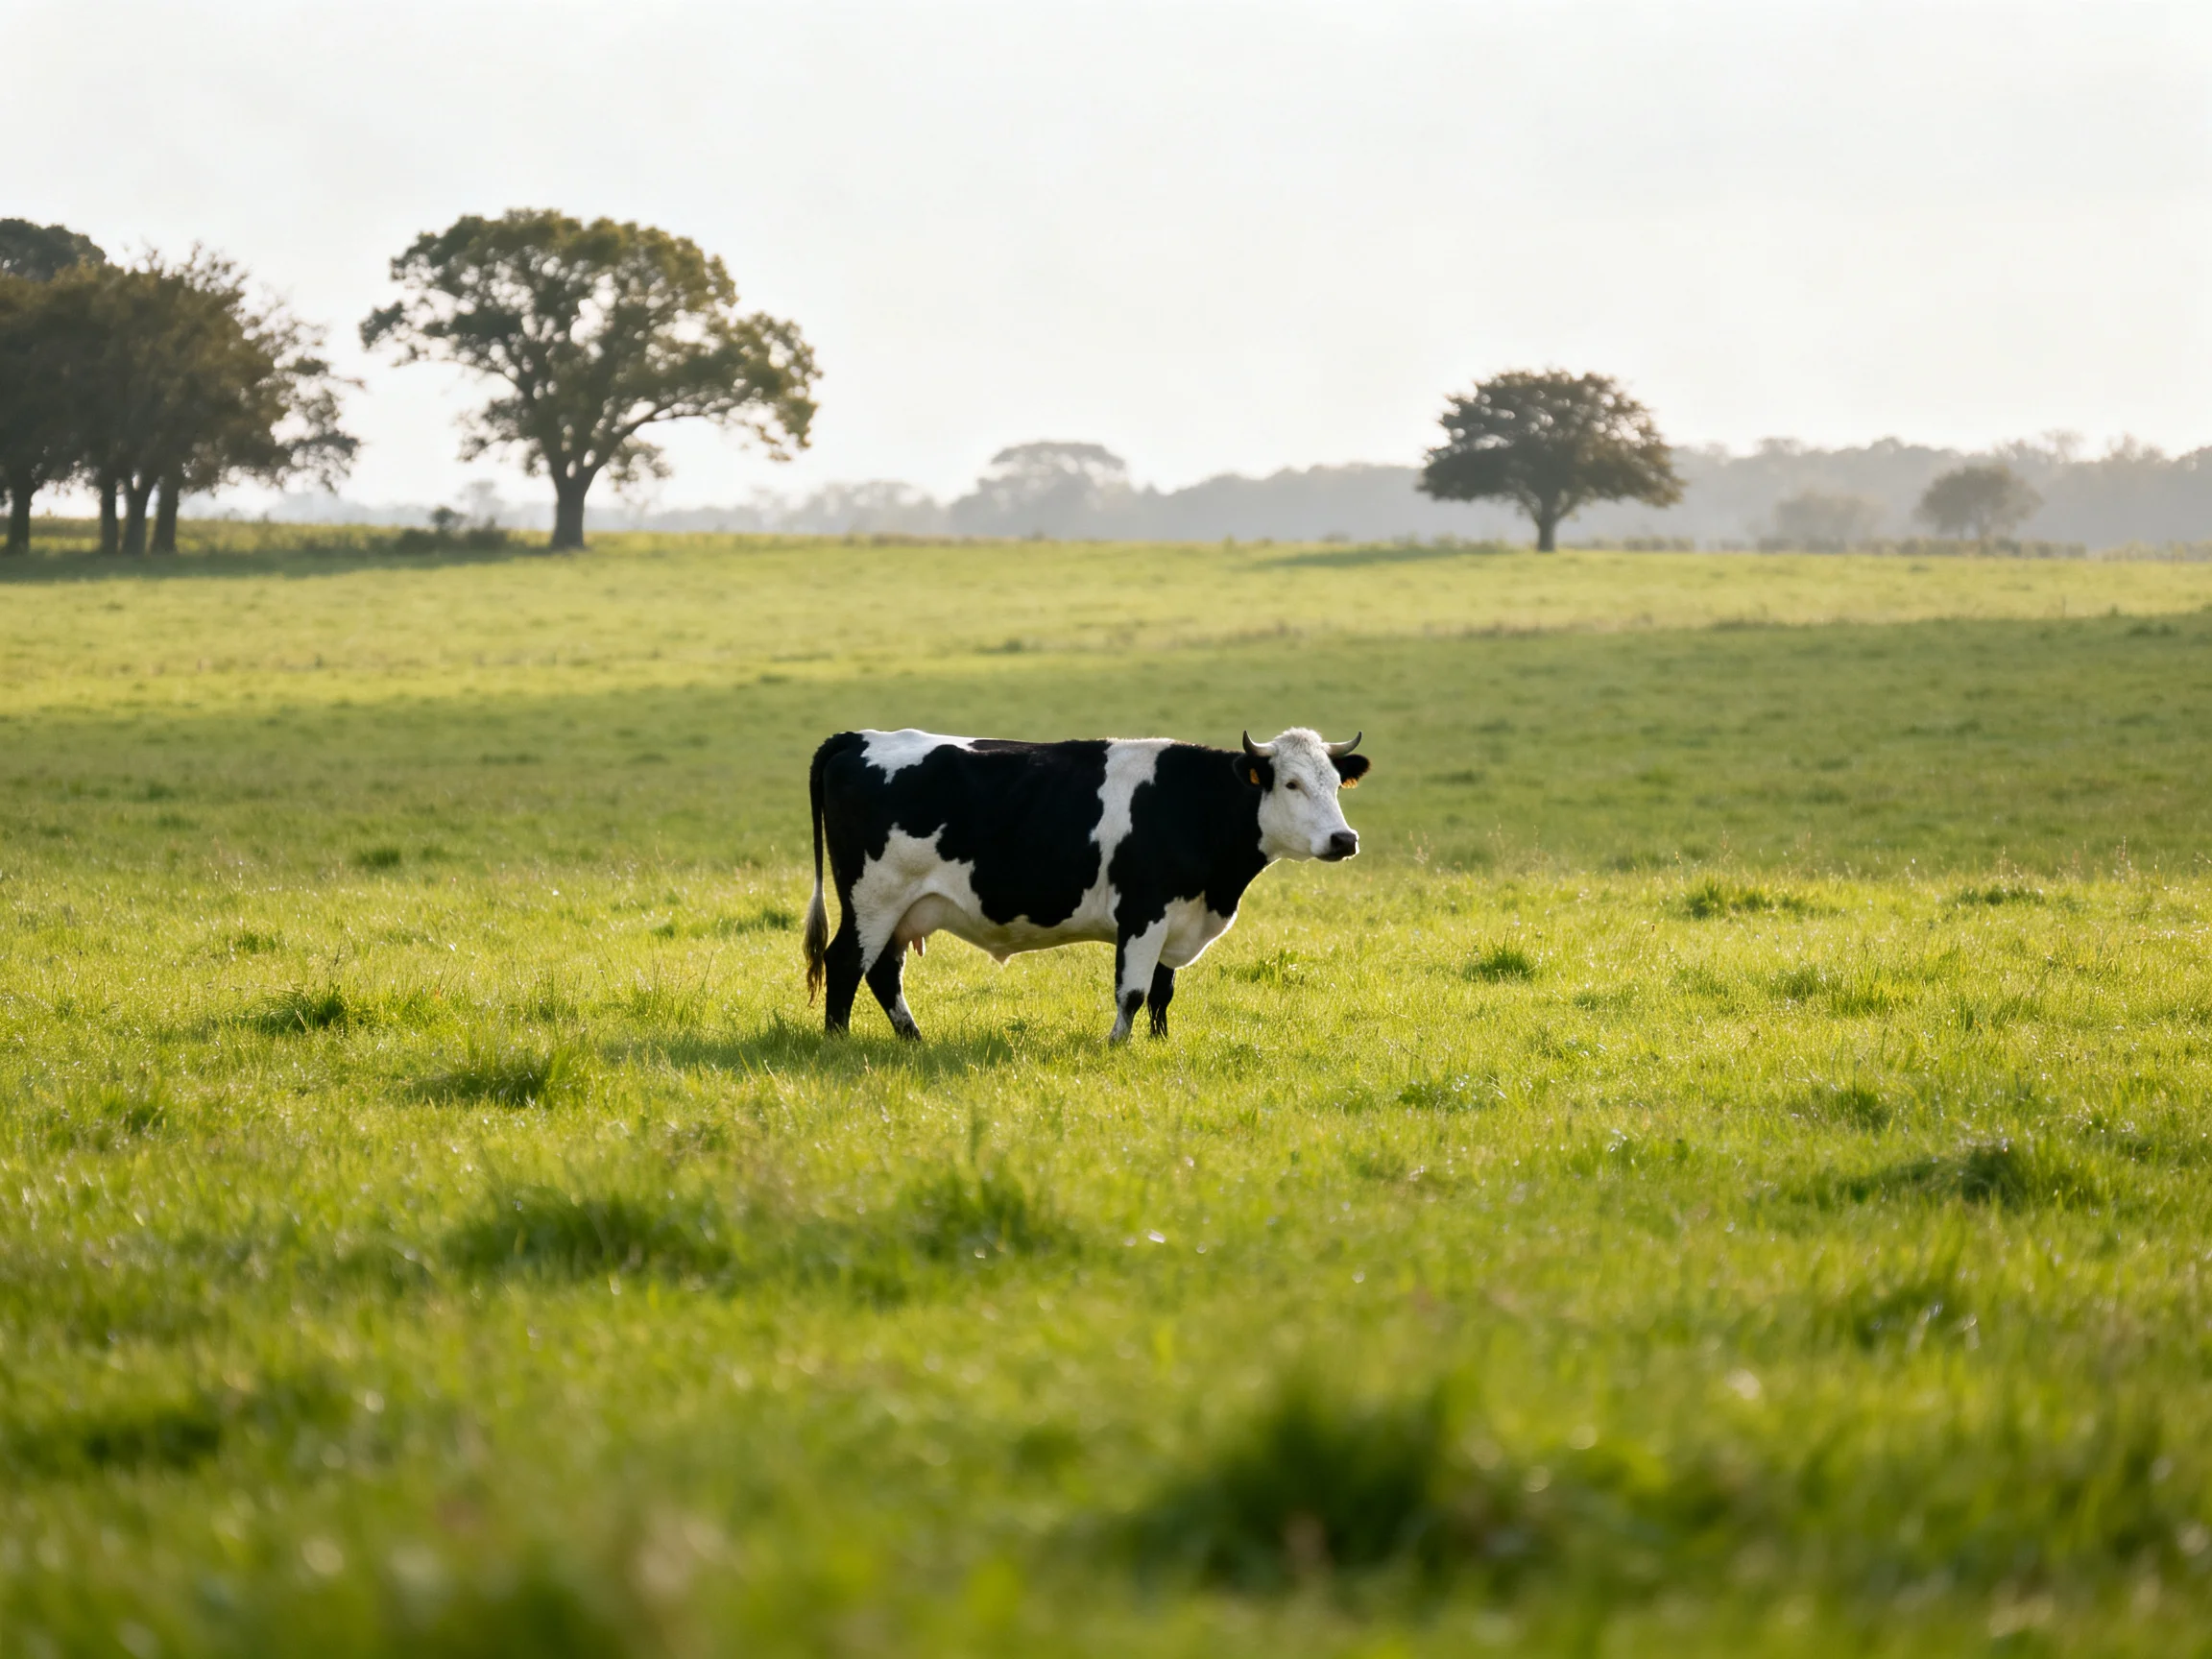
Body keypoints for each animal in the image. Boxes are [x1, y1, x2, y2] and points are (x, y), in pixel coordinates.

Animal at [801, 727, 1371, 1042]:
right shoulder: (1144, 912)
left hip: (902, 911)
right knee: (846, 962)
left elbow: (1163, 993)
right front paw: (1117, 1046)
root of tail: (859, 738)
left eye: (1333, 784)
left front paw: (1159, 1046)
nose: (1344, 839)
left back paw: (913, 1038)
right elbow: (1133, 992)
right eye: (1291, 783)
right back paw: (838, 1041)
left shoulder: (1177, 916)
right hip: (873, 898)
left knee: (882, 972)